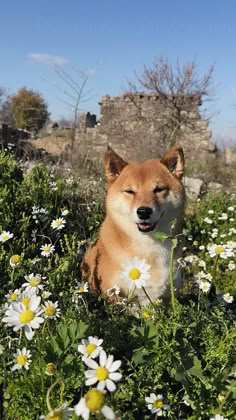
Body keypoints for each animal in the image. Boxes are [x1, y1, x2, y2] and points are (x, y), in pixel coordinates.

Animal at [82, 144, 185, 306]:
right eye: (130, 191)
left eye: (159, 189)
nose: (144, 211)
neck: (148, 247)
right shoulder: (115, 296)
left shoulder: (168, 297)